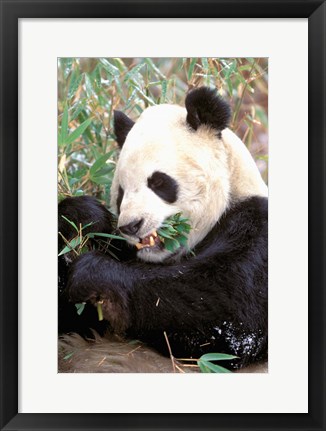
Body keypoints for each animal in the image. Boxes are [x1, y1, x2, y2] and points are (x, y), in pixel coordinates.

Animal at [58, 87, 268, 372]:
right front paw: (83, 217)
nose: (131, 226)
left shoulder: (257, 229)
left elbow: (228, 315)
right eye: (121, 192)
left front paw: (94, 275)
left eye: (158, 182)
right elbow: (71, 317)